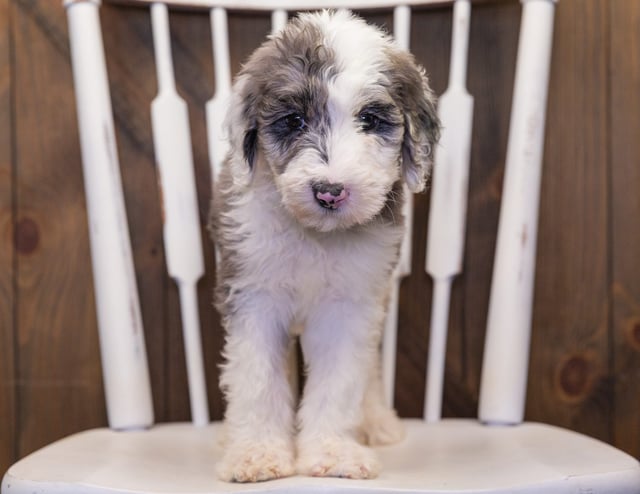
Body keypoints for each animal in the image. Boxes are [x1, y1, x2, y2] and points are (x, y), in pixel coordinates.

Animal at [210, 9, 440, 482]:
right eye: (294, 121)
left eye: (370, 120)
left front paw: (333, 454)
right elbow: (257, 379)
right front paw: (255, 454)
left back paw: (377, 423)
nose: (330, 192)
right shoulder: (253, 297)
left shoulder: (351, 305)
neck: (314, 235)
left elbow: (341, 382)